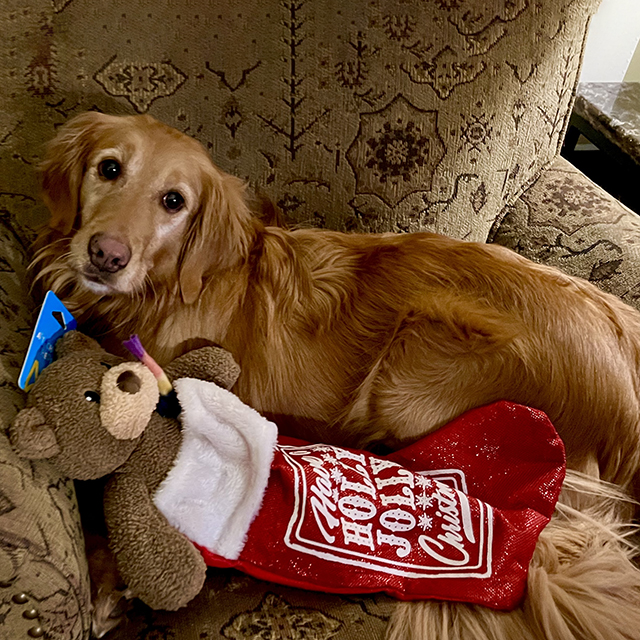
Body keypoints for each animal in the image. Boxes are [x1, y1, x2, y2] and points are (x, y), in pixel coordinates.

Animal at [33, 112, 640, 639]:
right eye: (110, 168)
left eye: (173, 201)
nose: (106, 254)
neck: (155, 296)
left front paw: (109, 576)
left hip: (416, 352)